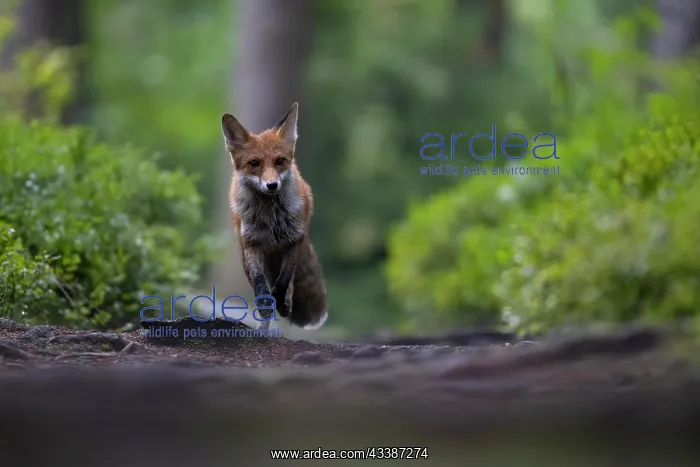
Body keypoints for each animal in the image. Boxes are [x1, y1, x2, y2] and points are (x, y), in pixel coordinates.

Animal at [221, 102, 328, 331]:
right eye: (254, 163)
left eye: (280, 161)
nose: (272, 185)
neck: (271, 219)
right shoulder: (252, 244)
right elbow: (261, 286)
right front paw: (266, 307)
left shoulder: (294, 241)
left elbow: (284, 282)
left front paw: (281, 301)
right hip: (245, 255)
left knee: (290, 282)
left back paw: (284, 305)